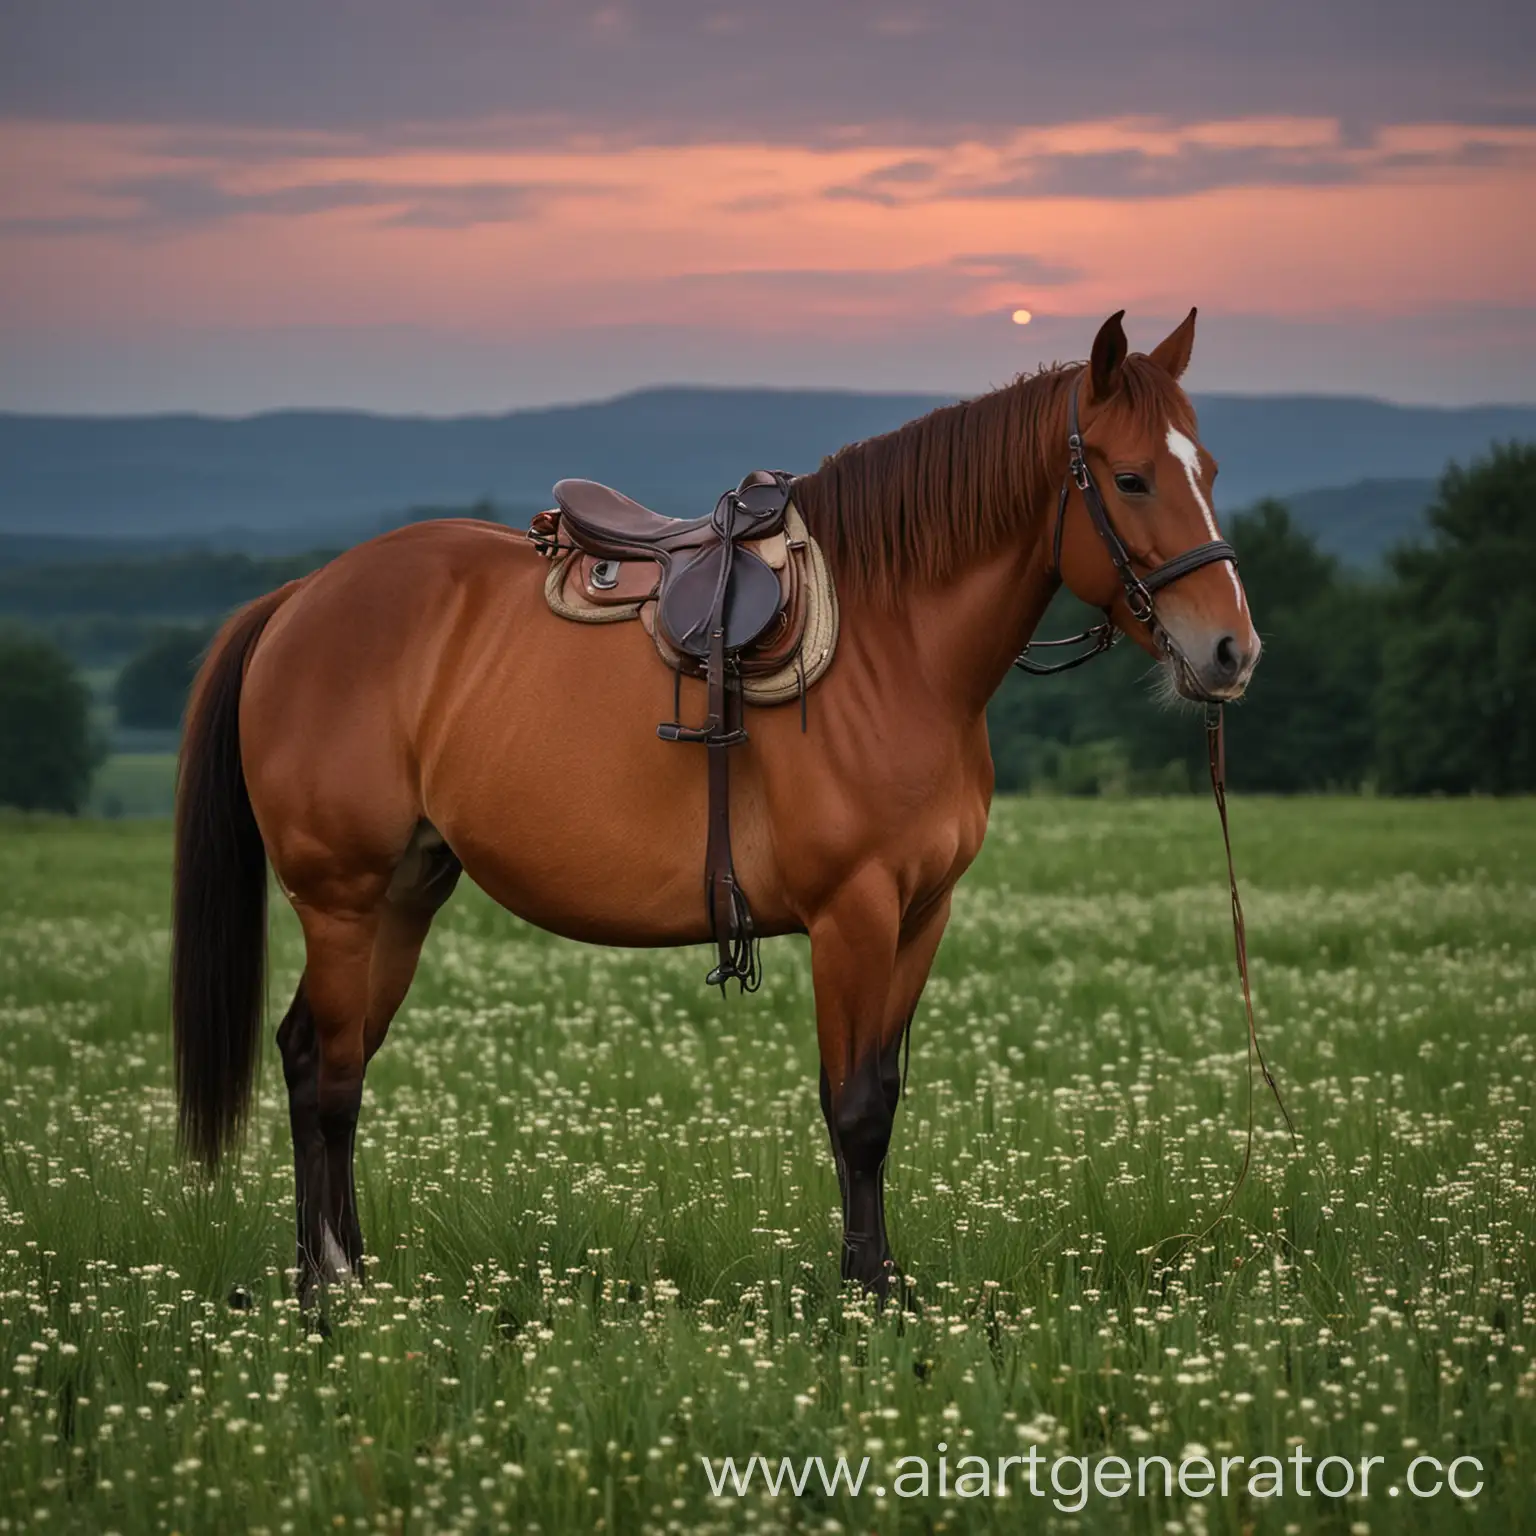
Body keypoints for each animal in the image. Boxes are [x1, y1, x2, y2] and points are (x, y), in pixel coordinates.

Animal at [176, 305, 1259, 1302]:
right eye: (1131, 478)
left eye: (1207, 468)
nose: (1231, 651)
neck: (894, 643)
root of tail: (301, 598)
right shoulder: (853, 913)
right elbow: (855, 1110)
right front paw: (867, 1300)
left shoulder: (921, 912)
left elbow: (886, 1095)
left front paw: (887, 1284)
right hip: (342, 899)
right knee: (323, 1071)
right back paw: (325, 1290)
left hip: (406, 891)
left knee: (332, 1059)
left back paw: (348, 1278)